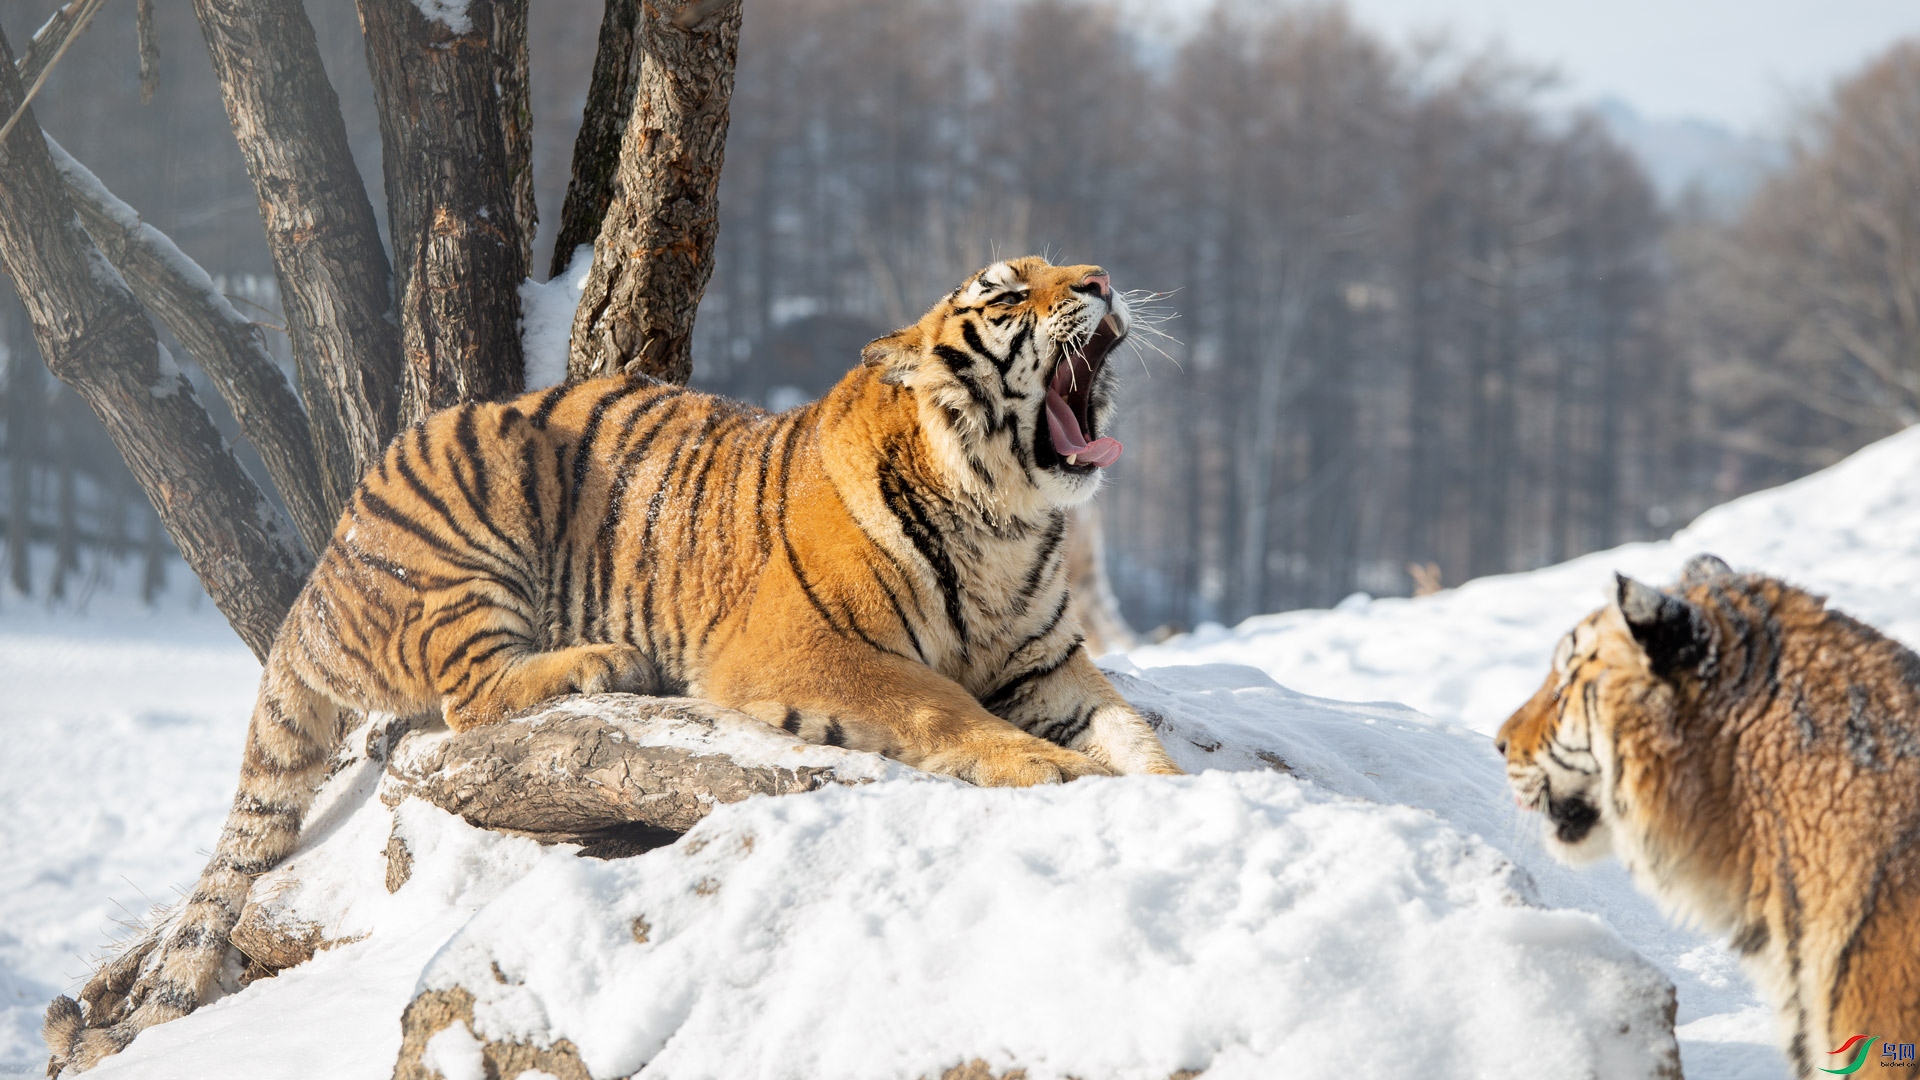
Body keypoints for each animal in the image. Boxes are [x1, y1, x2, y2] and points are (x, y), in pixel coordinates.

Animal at [45, 253, 1175, 1068]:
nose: (1100, 281)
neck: (1007, 522)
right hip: (476, 524)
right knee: (466, 699)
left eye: (1064, 266)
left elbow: (1129, 730)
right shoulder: (807, 647)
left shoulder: (1048, 662)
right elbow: (940, 705)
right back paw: (607, 662)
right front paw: (1044, 768)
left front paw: (1172, 786)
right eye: (1010, 292)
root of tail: (323, 567)